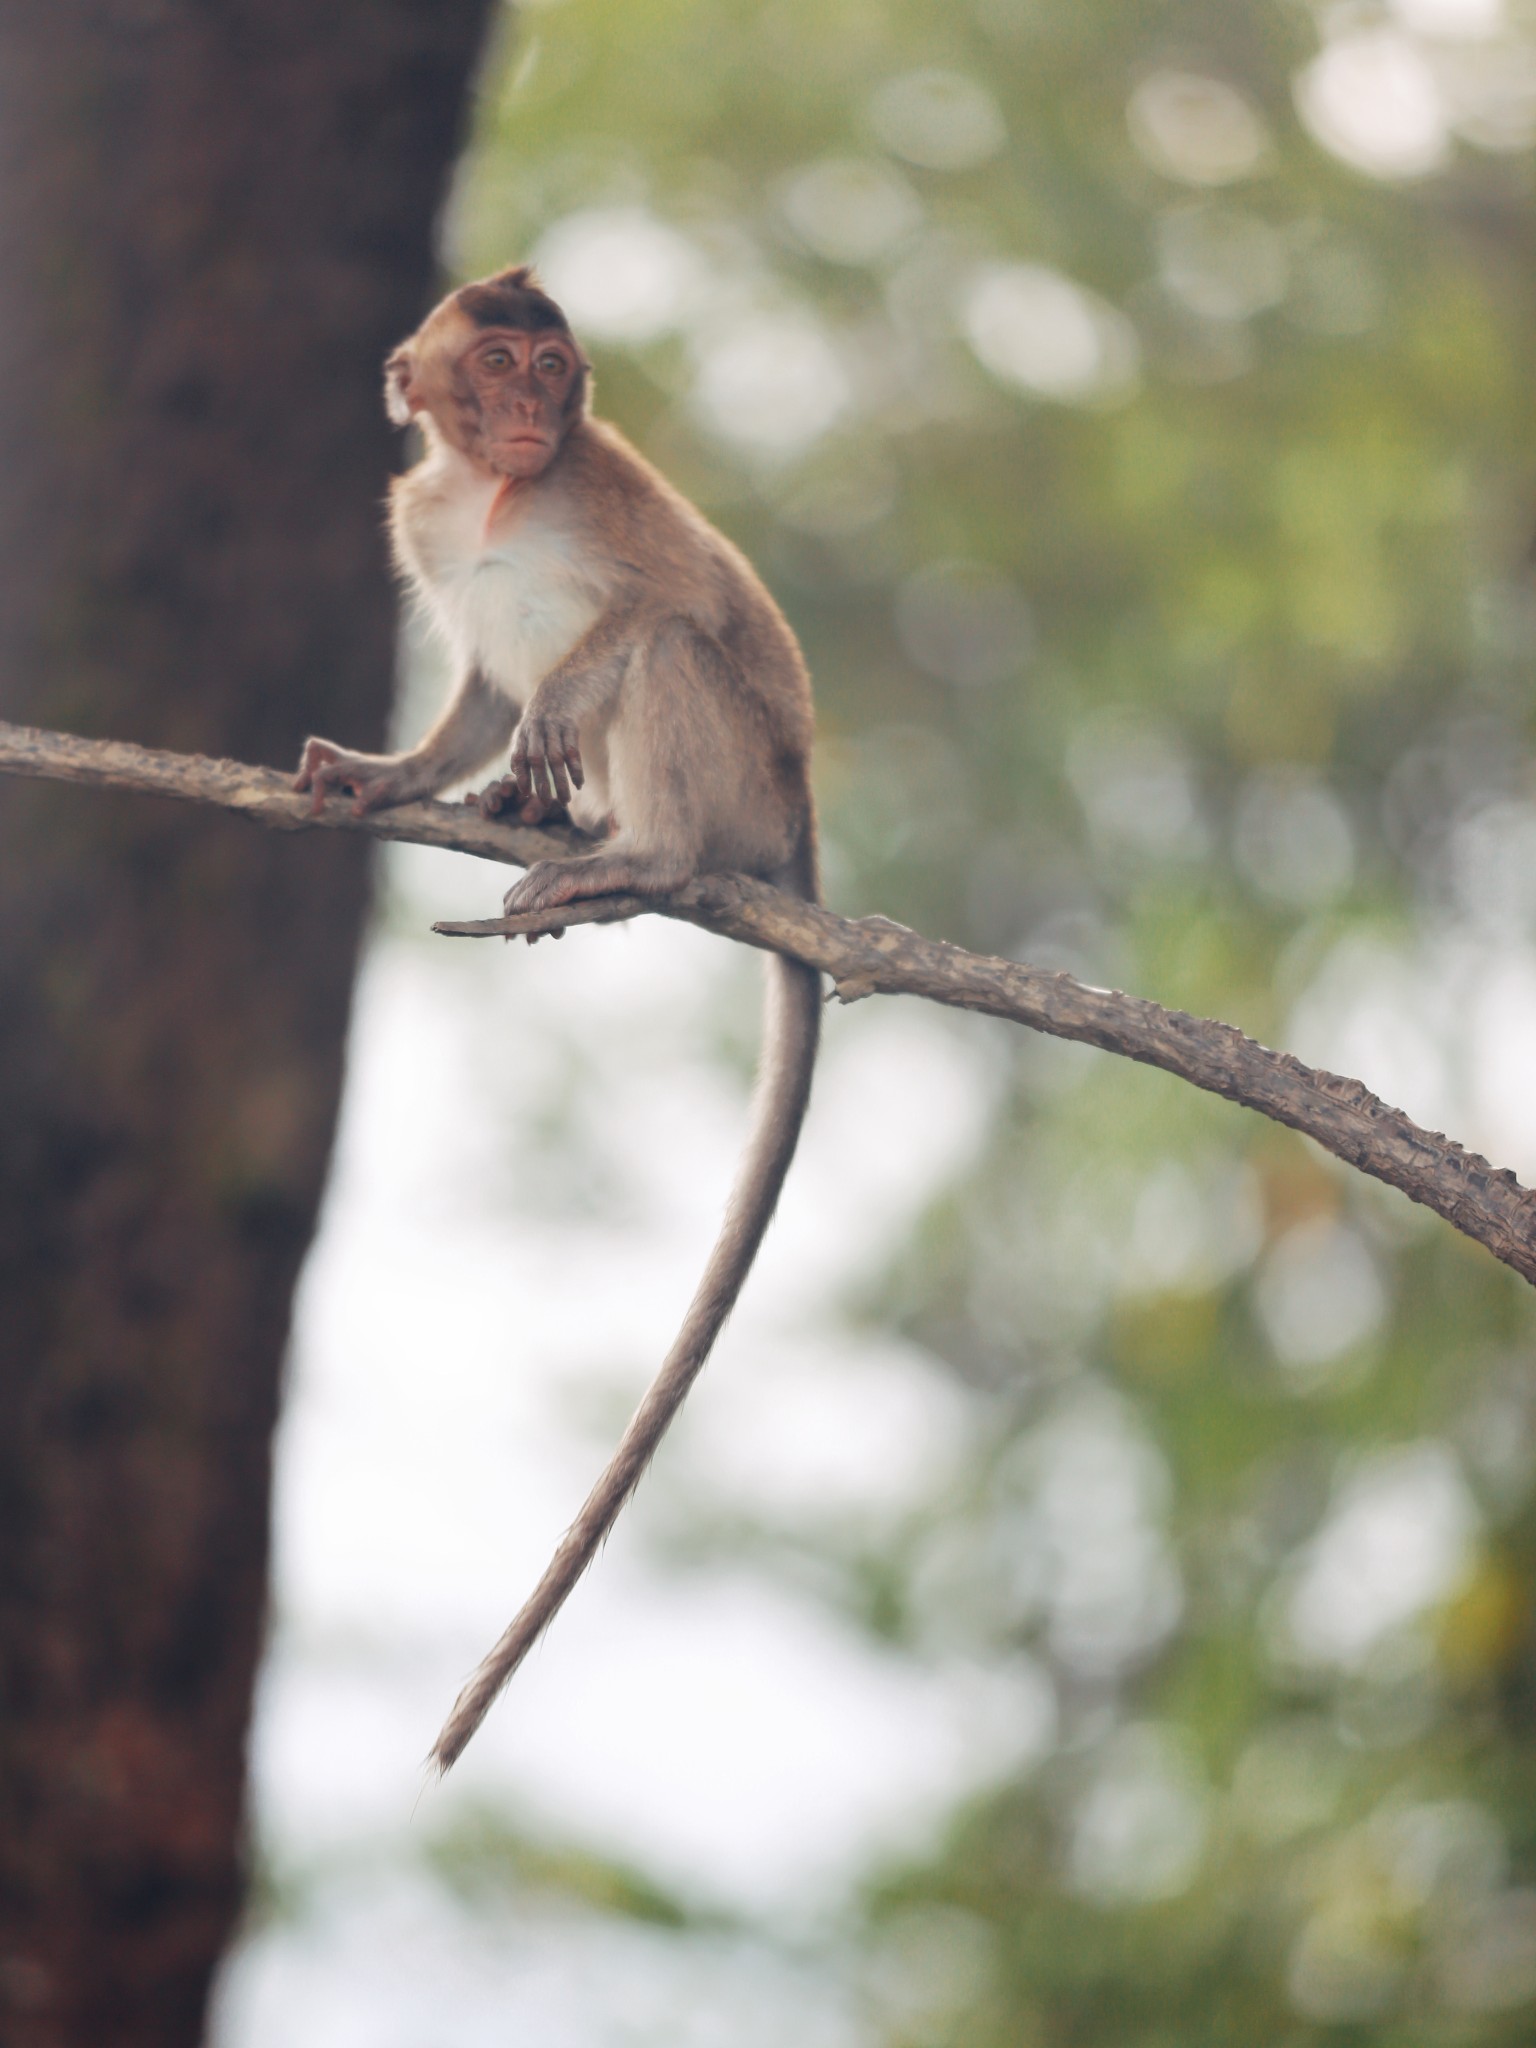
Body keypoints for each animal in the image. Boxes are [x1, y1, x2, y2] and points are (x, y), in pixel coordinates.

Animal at [288, 268, 819, 1777]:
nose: (531, 410)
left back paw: (636, 855)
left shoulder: (604, 486)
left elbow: (676, 596)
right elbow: (474, 692)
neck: (495, 496)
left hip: (747, 784)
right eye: (497, 364)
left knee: (674, 650)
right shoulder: (419, 517)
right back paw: (550, 828)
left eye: (551, 368)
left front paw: (561, 702)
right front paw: (390, 773)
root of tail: (800, 834)